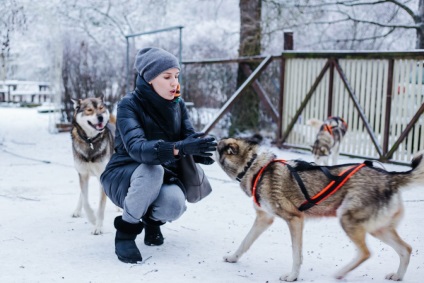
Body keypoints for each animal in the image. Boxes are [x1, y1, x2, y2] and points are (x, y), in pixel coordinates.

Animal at [71, 96, 115, 236]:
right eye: (89, 110)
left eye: (101, 108)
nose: (100, 117)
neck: (90, 141)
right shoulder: (83, 174)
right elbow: (85, 200)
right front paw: (92, 218)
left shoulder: (103, 176)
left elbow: (101, 205)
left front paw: (98, 226)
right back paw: (77, 210)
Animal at [217, 136, 422, 282]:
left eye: (218, 145)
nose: (210, 138)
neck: (254, 167)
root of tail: (389, 177)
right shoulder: (264, 219)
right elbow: (245, 242)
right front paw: (233, 257)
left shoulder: (295, 219)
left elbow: (296, 254)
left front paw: (292, 276)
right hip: (377, 229)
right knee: (406, 249)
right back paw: (398, 276)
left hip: (348, 220)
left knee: (366, 253)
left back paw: (341, 273)